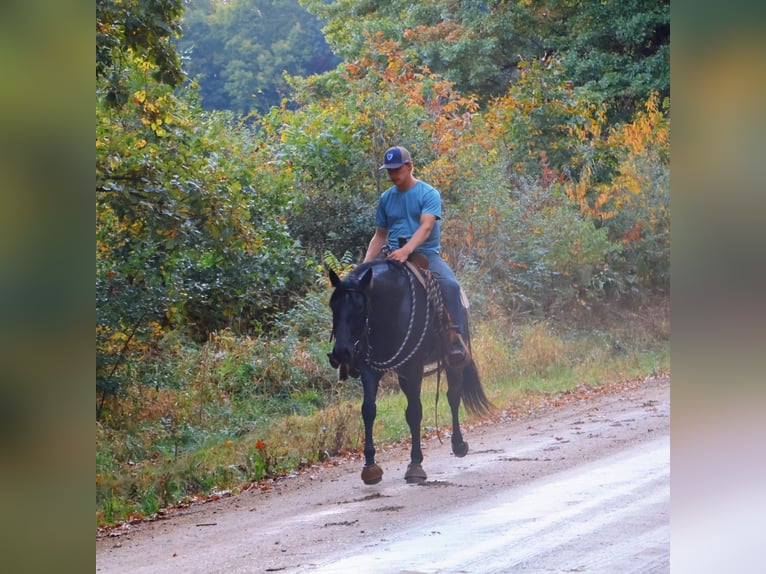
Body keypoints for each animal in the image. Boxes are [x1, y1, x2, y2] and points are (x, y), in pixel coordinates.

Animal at [327, 259, 493, 484]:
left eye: (360, 307)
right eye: (333, 305)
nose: (342, 352)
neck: (390, 309)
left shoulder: (413, 367)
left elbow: (414, 413)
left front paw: (415, 464)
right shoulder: (370, 369)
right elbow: (368, 410)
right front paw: (370, 467)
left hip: (453, 361)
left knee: (453, 396)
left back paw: (458, 444)